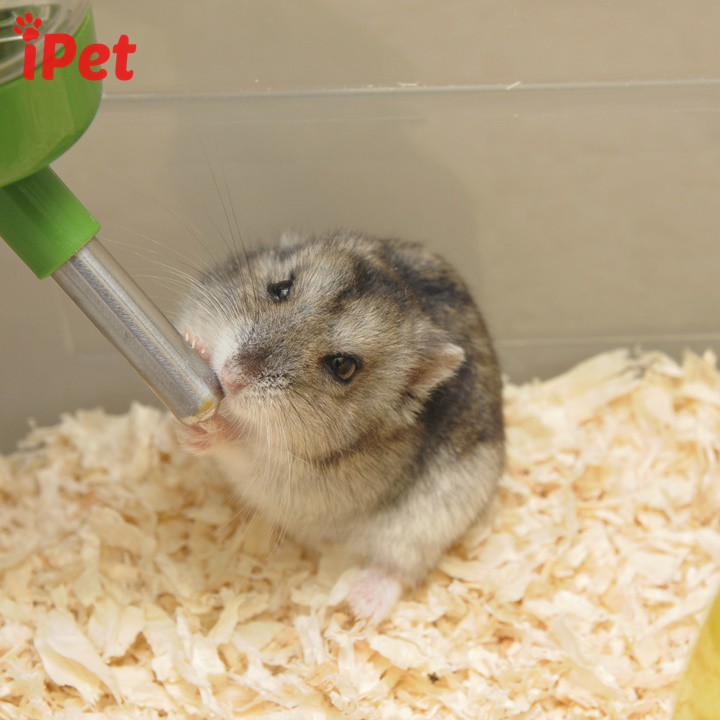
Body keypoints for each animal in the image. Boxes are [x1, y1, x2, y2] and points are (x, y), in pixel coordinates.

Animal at [176, 230, 504, 622]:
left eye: (343, 366)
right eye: (280, 289)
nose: (230, 377)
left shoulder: (296, 477)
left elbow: (245, 446)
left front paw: (208, 430)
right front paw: (192, 342)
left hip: (427, 526)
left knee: (400, 567)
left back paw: (361, 607)